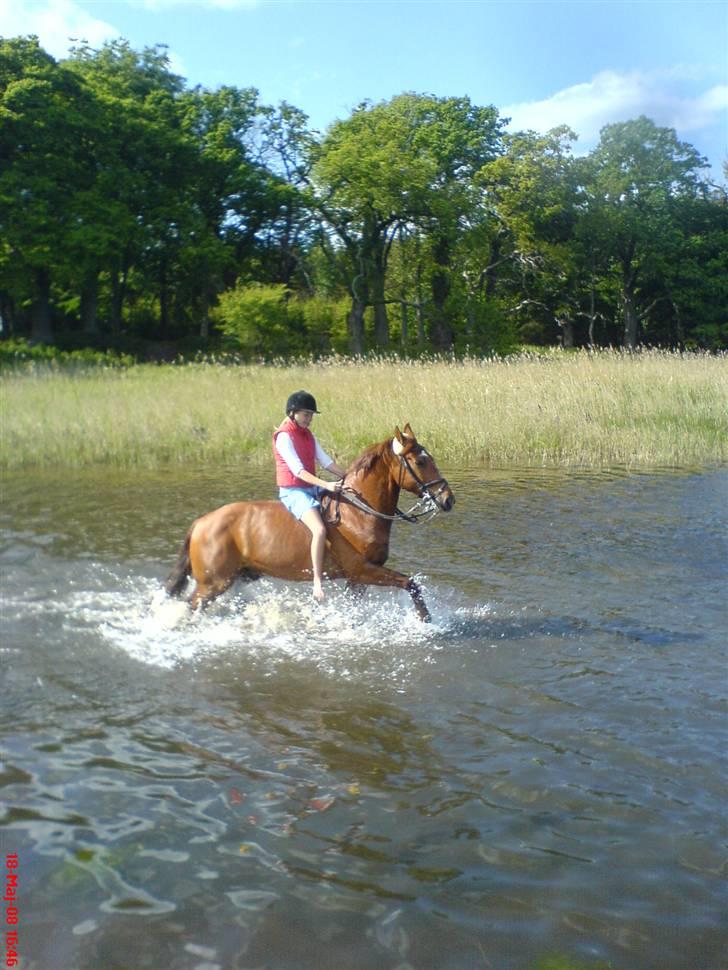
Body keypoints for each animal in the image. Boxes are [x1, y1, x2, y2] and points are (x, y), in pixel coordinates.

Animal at [165, 422, 456, 620]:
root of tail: (201, 522)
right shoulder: (362, 570)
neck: (358, 514)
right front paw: (425, 619)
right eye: (420, 461)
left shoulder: (358, 580)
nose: (448, 499)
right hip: (212, 584)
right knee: (191, 605)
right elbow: (411, 583)